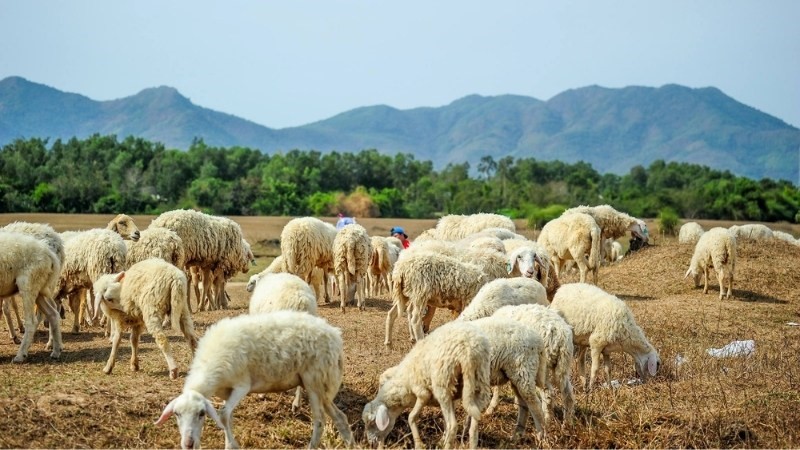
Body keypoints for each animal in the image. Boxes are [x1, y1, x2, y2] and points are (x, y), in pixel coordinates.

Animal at [0, 231, 63, 363]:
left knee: (31, 321)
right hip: (39, 290)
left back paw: (20, 355)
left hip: (28, 285)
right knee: (53, 314)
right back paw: (56, 351)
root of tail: (49, 254)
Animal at [155, 310, 354, 449]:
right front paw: (229, 442)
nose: (188, 444)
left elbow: (223, 415)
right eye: (177, 414)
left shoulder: (242, 385)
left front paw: (231, 445)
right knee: (340, 417)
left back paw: (312, 446)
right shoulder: (227, 392)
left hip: (314, 380)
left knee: (320, 420)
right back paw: (351, 444)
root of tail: (335, 336)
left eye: (201, 414)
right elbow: (228, 417)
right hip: (322, 385)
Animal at [363, 320, 492, 449]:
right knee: (473, 428)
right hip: (480, 380)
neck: (404, 383)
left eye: (372, 423)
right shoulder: (452, 397)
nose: (371, 443)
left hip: (443, 384)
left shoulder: (422, 392)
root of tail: (468, 351)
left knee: (452, 425)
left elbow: (411, 417)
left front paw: (419, 444)